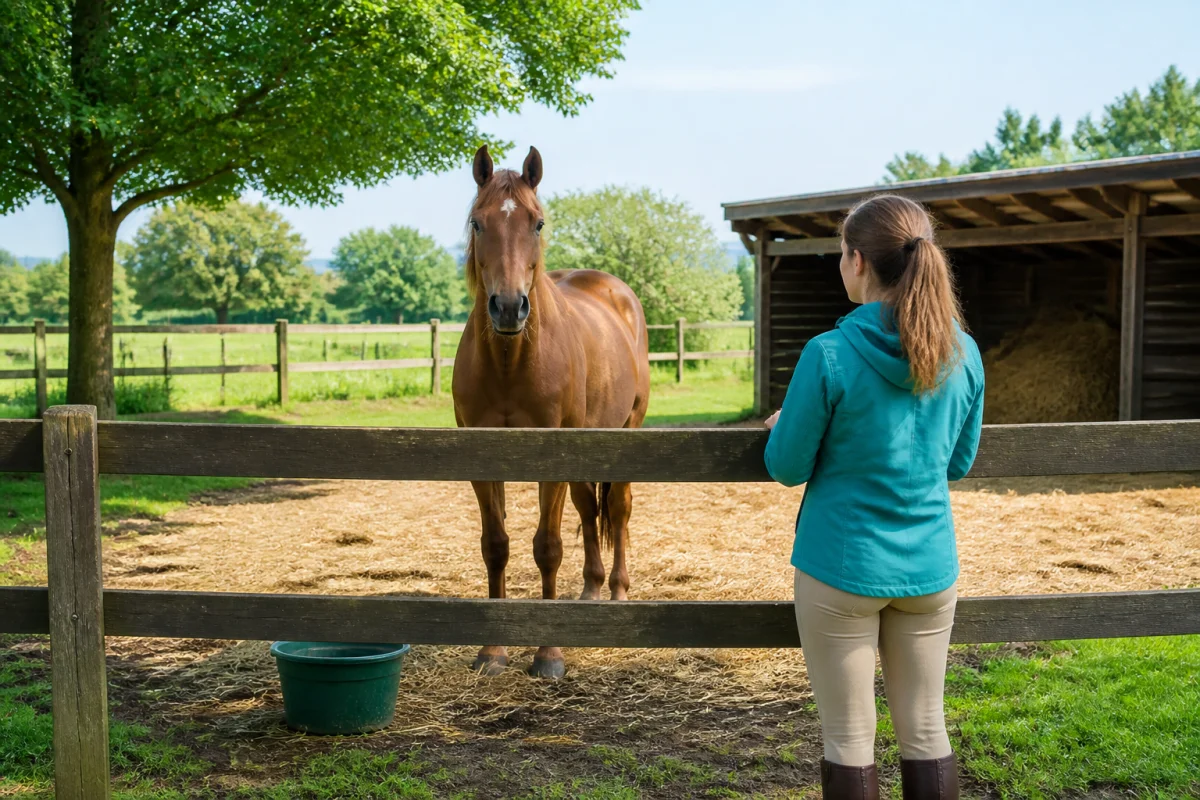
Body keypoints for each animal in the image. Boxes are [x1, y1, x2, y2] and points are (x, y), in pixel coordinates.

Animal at [452, 145, 651, 679]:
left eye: (537, 223)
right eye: (477, 222)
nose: (507, 307)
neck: (510, 362)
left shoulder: (552, 460)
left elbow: (547, 547)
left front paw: (548, 655)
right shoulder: (481, 460)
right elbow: (496, 545)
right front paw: (492, 652)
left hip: (627, 432)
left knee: (618, 510)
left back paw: (617, 592)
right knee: (588, 509)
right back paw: (590, 591)